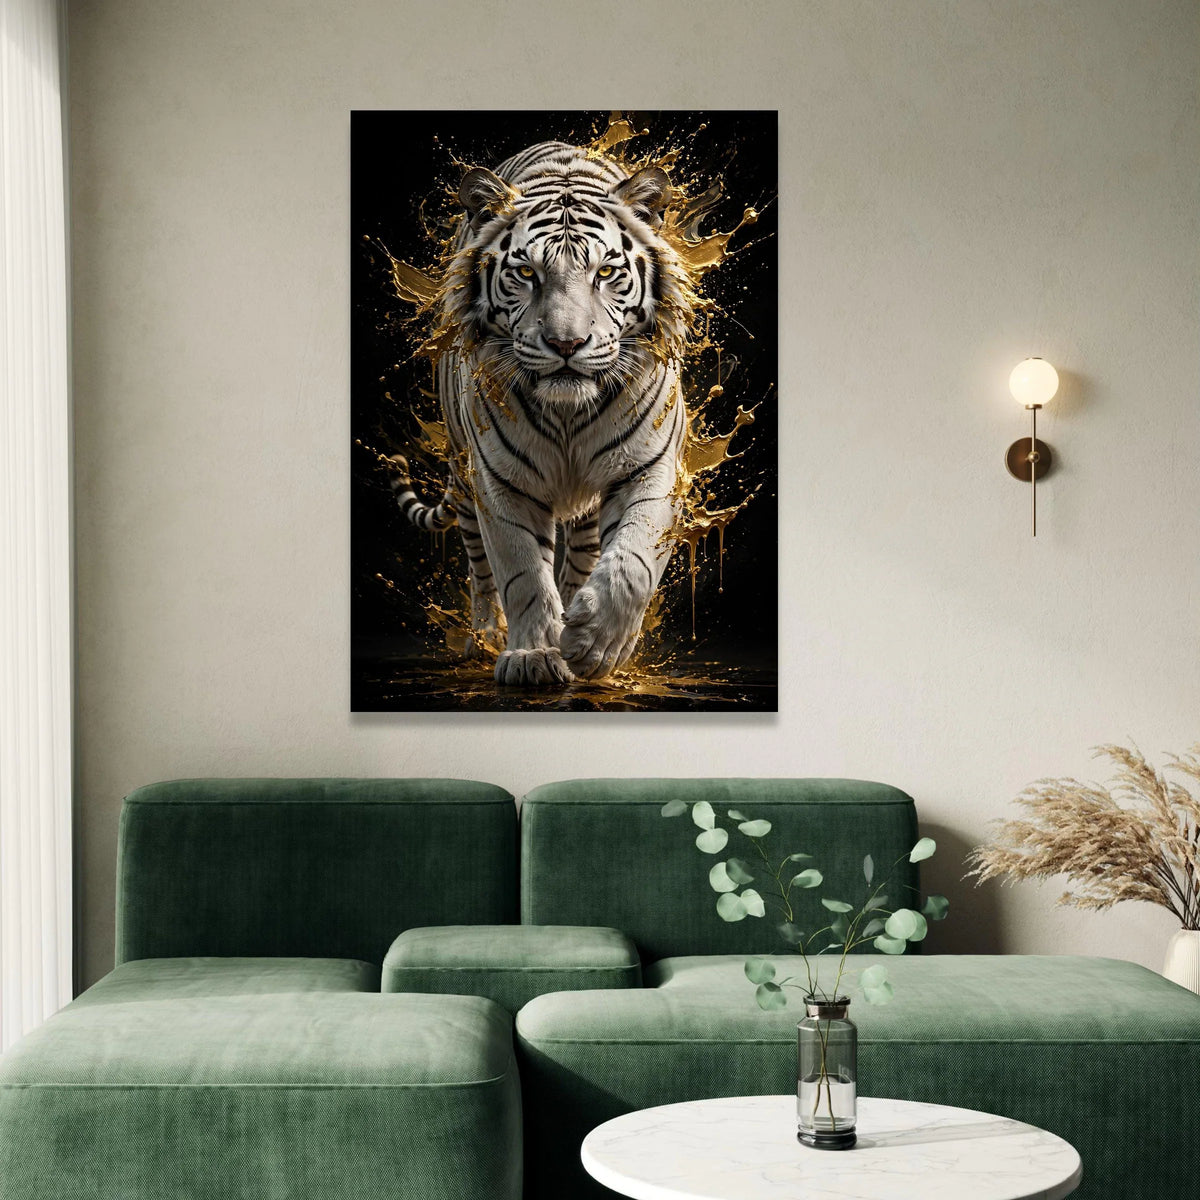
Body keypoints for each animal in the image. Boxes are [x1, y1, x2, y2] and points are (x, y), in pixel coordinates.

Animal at [388, 140, 696, 687]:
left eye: (605, 273)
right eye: (527, 273)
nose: (566, 344)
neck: (568, 412)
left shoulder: (652, 466)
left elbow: (633, 560)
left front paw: (597, 645)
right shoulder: (499, 479)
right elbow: (522, 571)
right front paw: (532, 655)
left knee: (584, 552)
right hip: (464, 479)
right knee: (480, 567)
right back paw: (485, 637)